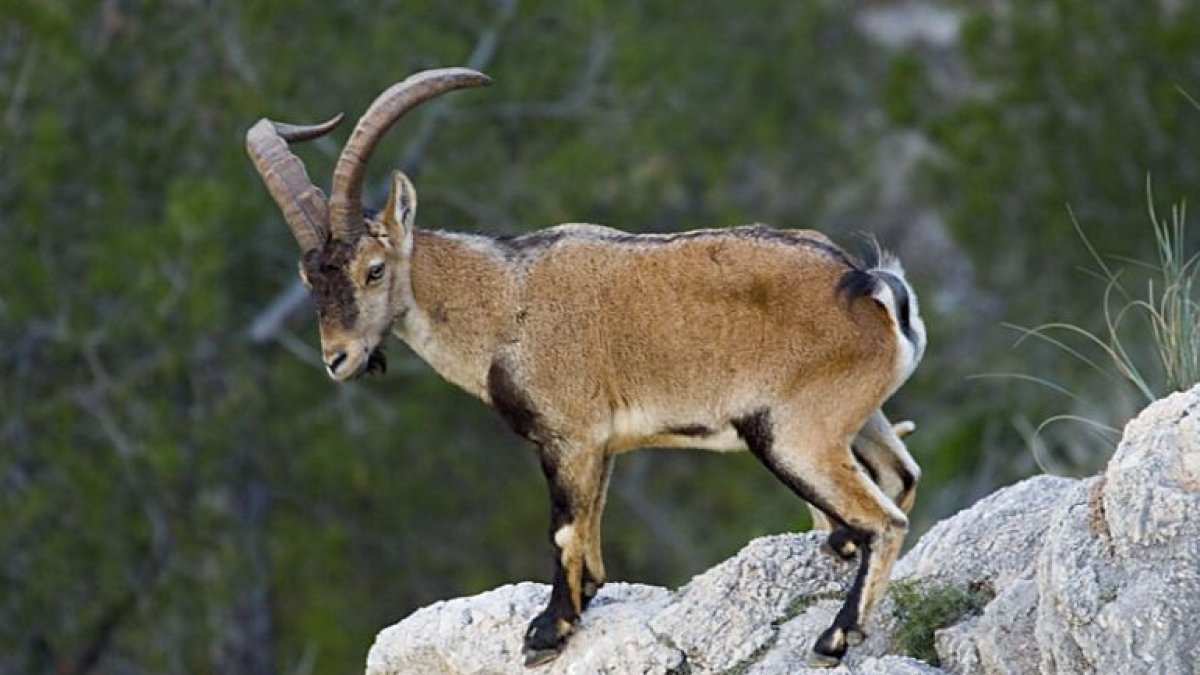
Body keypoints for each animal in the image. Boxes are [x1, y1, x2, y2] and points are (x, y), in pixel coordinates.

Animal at [245, 68, 925, 668]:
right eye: (308, 279)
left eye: (374, 270)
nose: (338, 358)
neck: (501, 301)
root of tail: (869, 286)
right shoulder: (600, 444)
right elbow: (592, 528)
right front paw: (579, 605)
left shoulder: (568, 436)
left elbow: (565, 531)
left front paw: (547, 633)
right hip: (857, 417)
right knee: (901, 476)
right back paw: (839, 553)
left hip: (794, 434)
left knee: (884, 520)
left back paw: (835, 637)